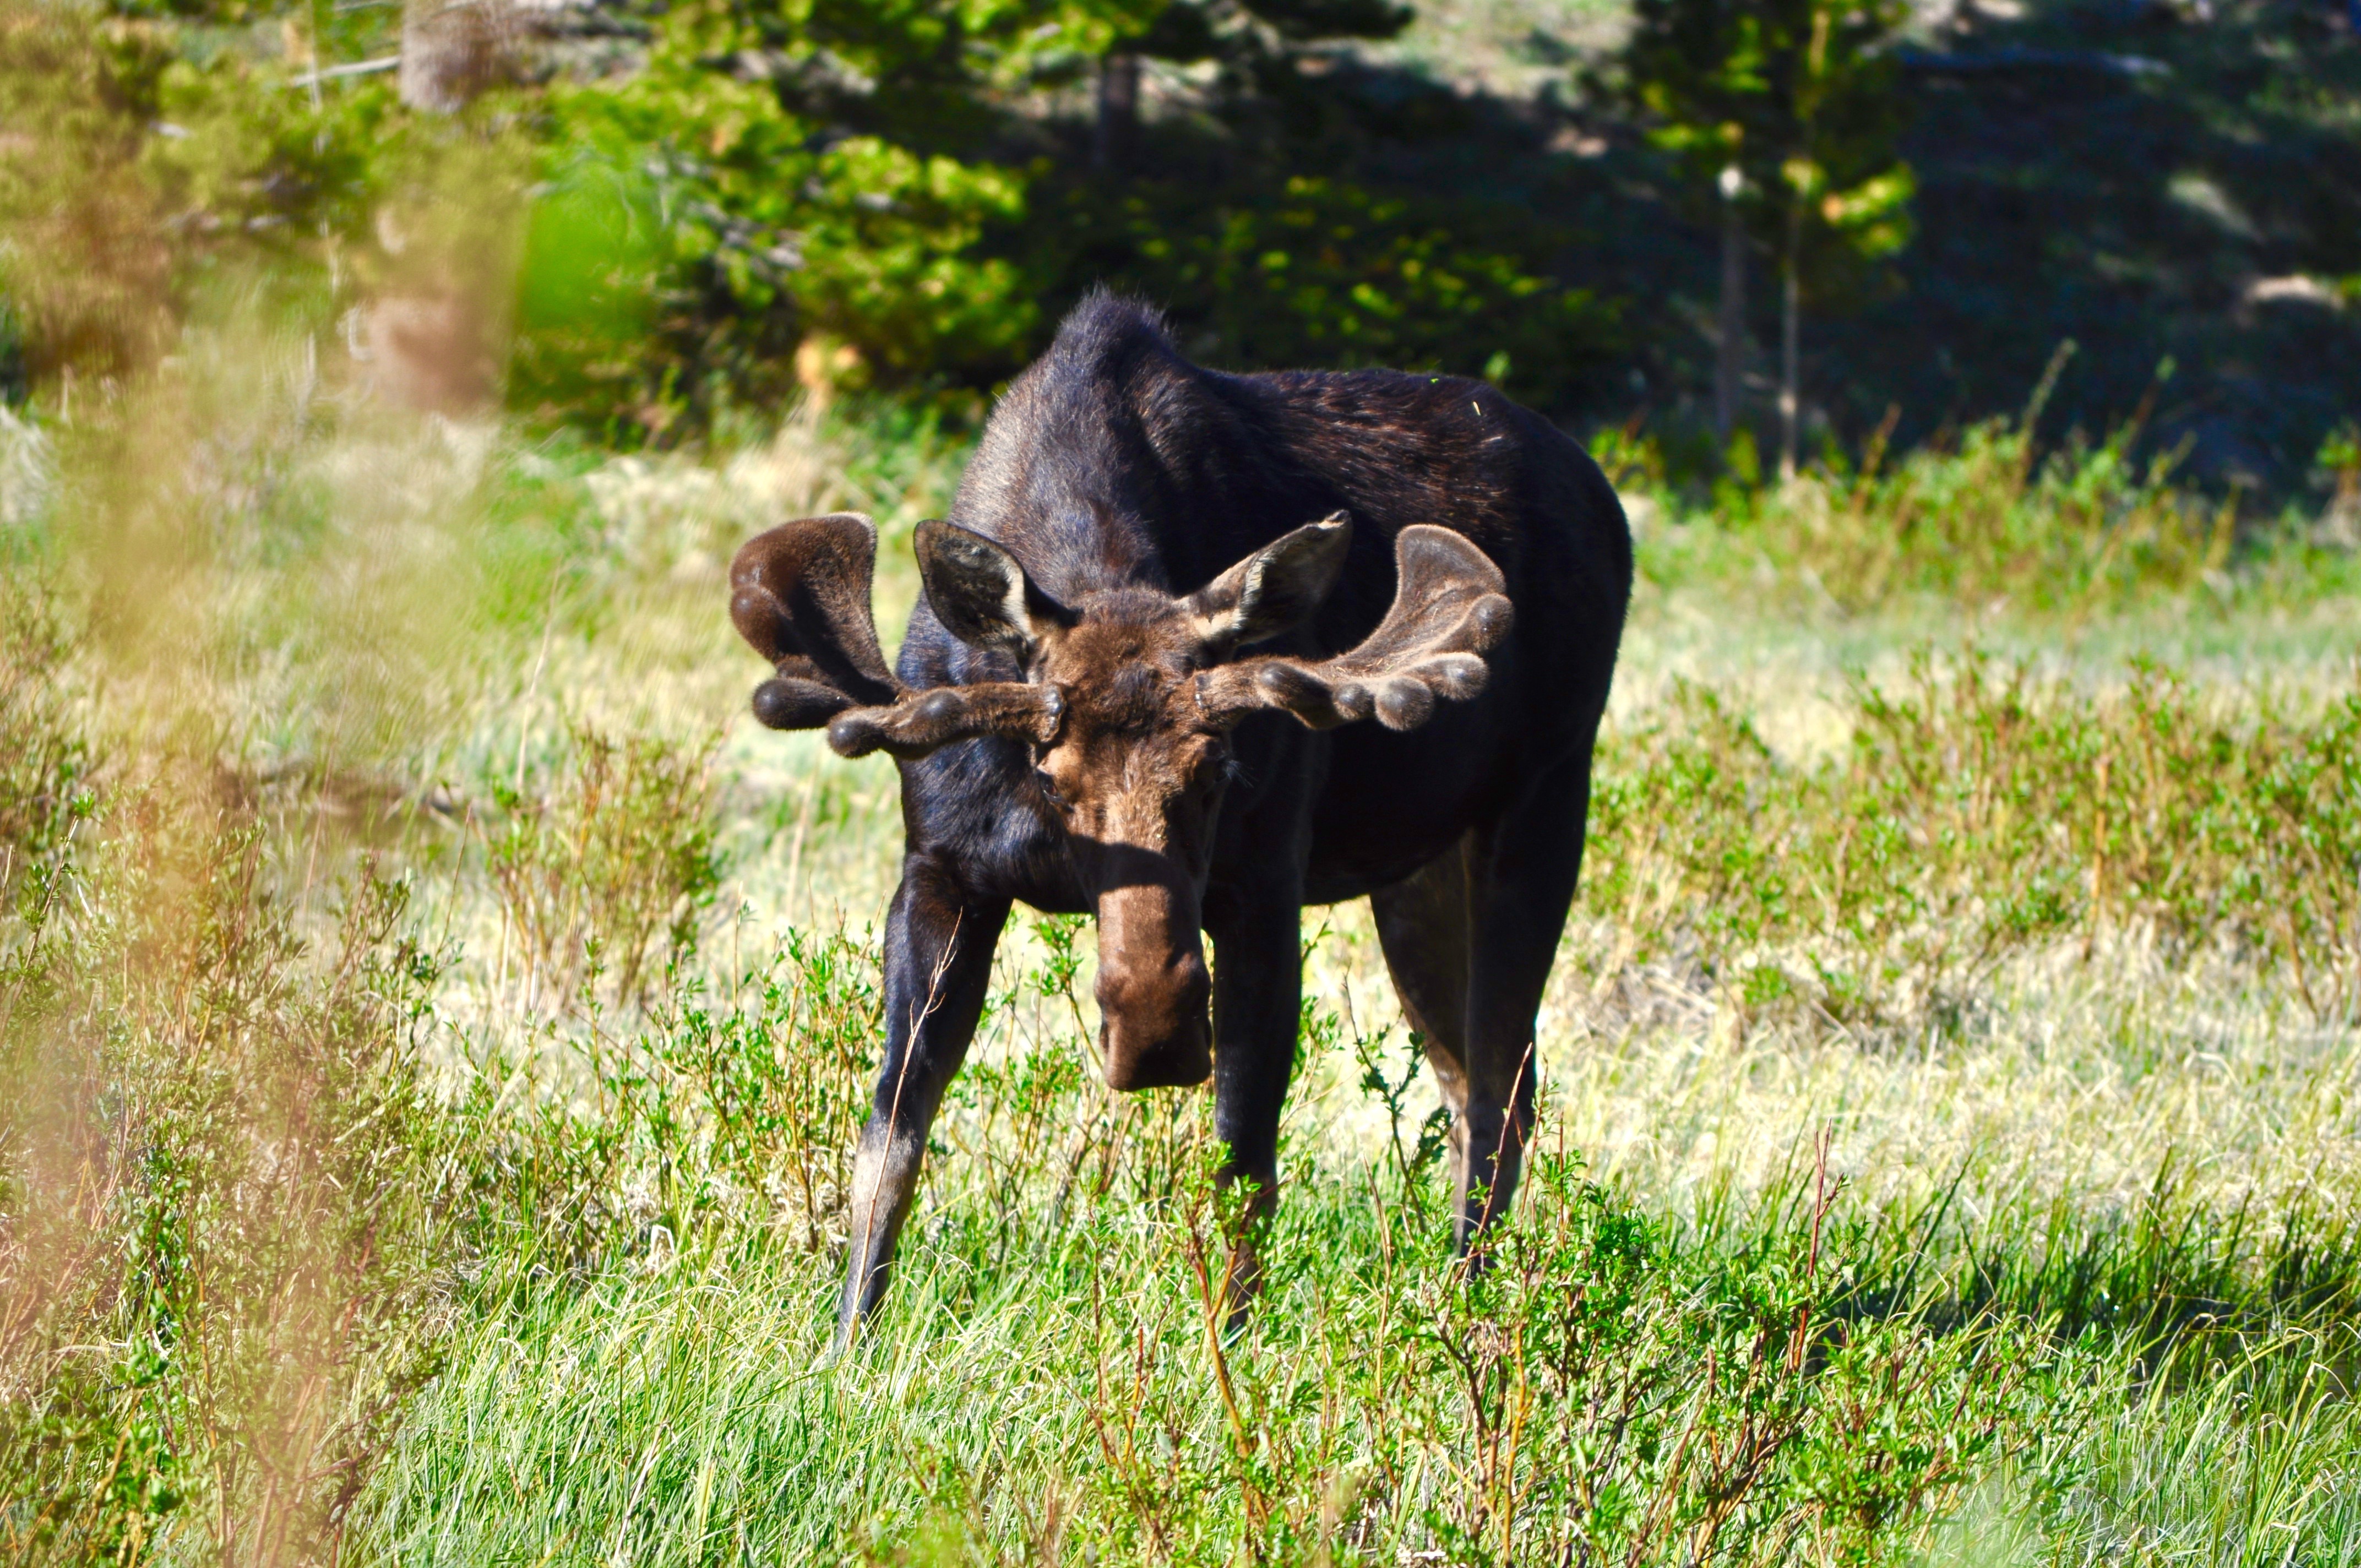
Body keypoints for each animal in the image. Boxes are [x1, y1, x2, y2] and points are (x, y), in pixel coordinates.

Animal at [727, 293, 1632, 1340]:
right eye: (1050, 775)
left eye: (1219, 769)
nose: (1155, 1035)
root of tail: (1606, 500)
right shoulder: (942, 868)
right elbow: (892, 1130)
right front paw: (848, 1341)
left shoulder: (1263, 882)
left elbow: (1244, 1157)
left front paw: (1226, 1350)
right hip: (1417, 872)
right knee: (1469, 1080)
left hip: (1545, 800)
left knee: (1499, 1083)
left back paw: (1468, 1314)